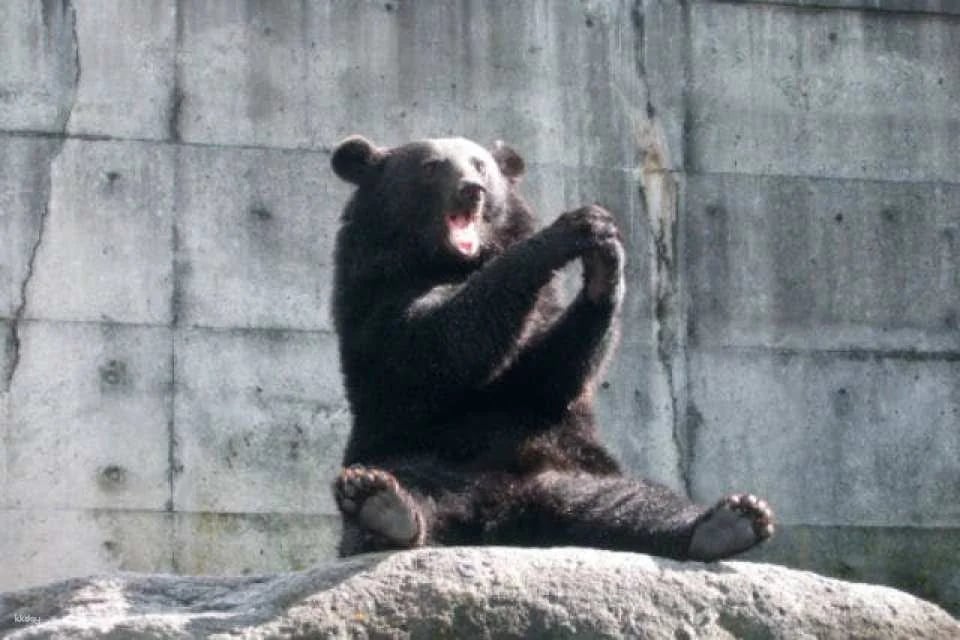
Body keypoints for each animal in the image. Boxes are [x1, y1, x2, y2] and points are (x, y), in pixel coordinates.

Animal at [329, 134, 774, 561]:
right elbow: (432, 345)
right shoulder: (377, 294)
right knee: (411, 482)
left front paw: (605, 262)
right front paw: (574, 228)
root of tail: (509, 510)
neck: (450, 261)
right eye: (432, 166)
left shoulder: (540, 333)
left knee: (637, 501)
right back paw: (382, 507)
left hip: (576, 471)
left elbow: (546, 374)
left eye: (480, 165)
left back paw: (730, 522)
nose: (471, 191)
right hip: (416, 451)